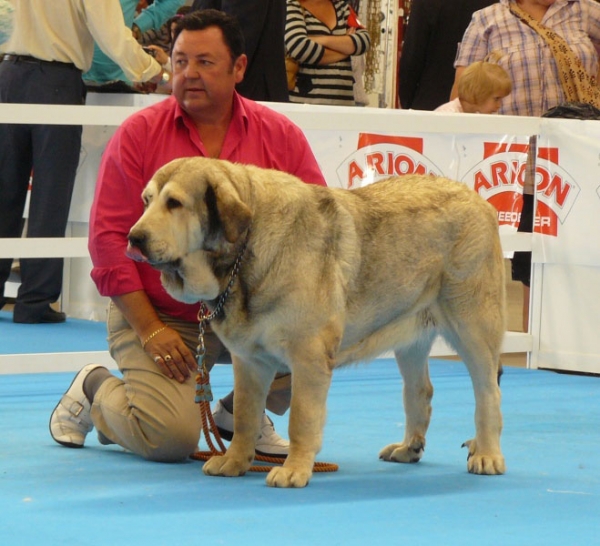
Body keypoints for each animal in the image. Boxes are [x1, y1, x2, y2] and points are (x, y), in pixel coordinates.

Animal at [127, 155, 506, 486]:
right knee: (419, 391)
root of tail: (480, 201)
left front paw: (294, 470)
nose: (134, 237)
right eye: (146, 201)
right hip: (410, 336)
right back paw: (408, 447)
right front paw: (235, 461)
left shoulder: (307, 358)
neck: (245, 249)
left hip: (471, 327)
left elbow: (301, 418)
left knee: (488, 391)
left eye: (174, 203)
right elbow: (246, 415)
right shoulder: (249, 361)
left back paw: (487, 453)